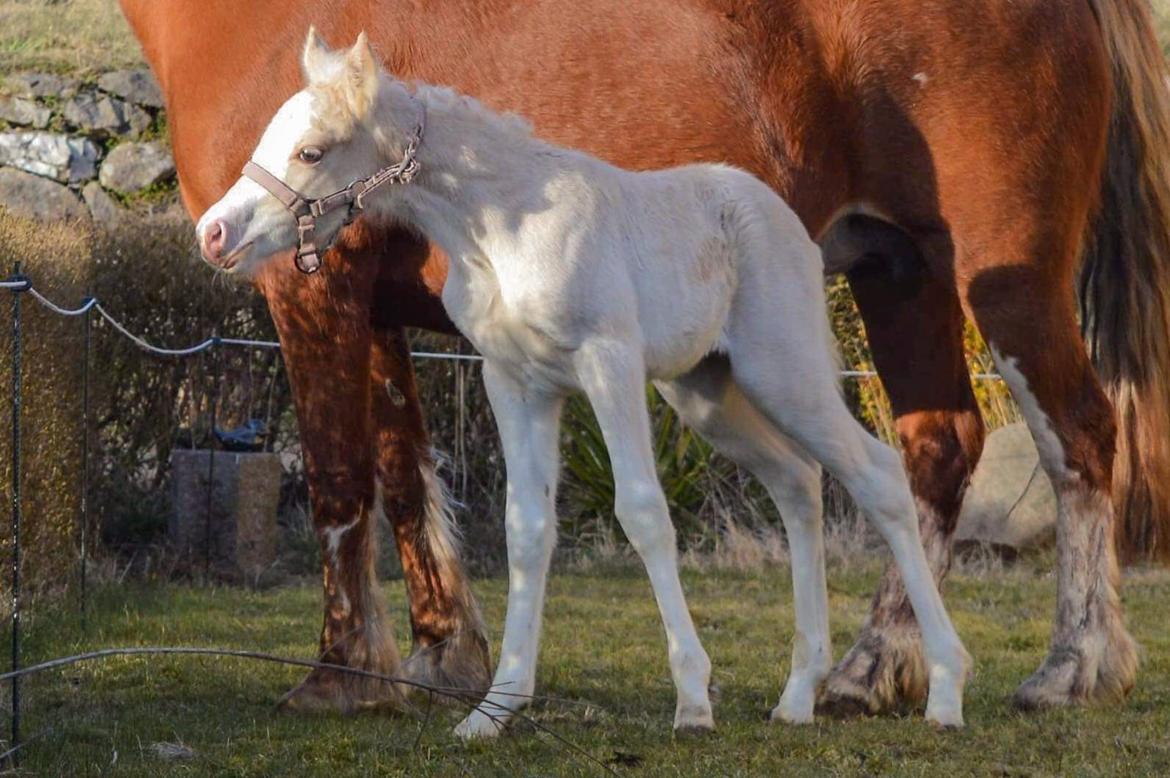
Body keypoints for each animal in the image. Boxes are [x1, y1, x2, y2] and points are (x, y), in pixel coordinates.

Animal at [198, 30, 968, 734]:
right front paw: (495, 708)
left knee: (877, 475)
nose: (213, 232)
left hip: (784, 369)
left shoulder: (609, 363)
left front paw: (693, 700)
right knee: (798, 481)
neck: (498, 230)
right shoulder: (516, 382)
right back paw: (797, 695)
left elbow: (644, 511)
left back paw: (943, 691)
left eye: (311, 151)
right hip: (705, 392)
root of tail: (794, 228)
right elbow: (527, 528)